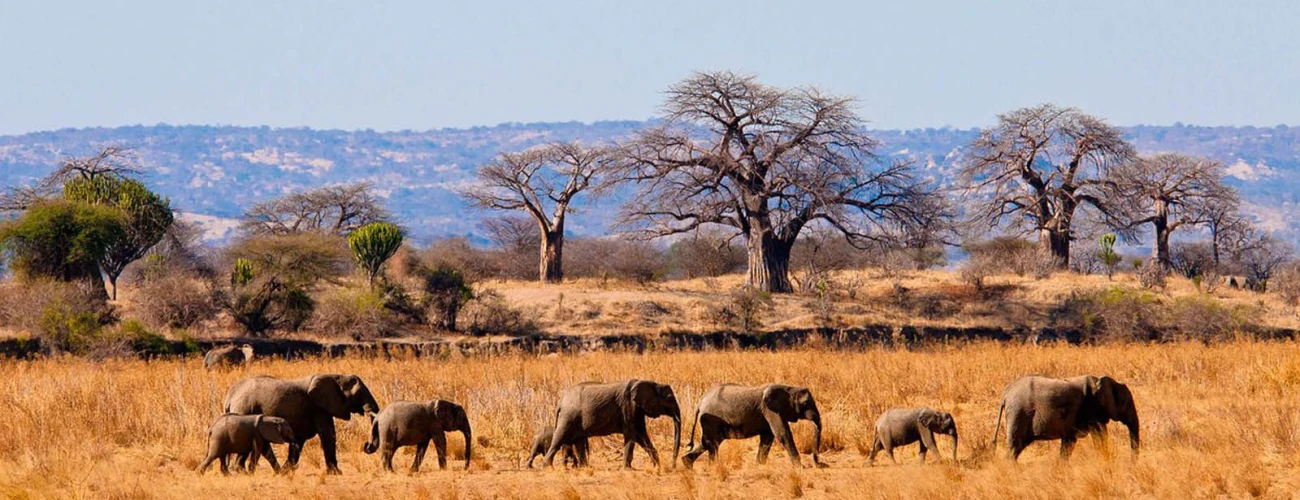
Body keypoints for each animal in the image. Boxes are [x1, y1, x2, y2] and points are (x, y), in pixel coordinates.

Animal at [220, 371, 377, 472]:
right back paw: (241, 471)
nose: (366, 445)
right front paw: (336, 473)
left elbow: (300, 440)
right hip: (245, 410)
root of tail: (230, 396)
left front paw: (288, 471)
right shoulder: (318, 407)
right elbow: (328, 434)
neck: (337, 376)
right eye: (358, 394)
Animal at [540, 379, 681, 470]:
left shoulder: (637, 410)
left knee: (578, 441)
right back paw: (547, 466)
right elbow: (632, 435)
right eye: (669, 398)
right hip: (569, 416)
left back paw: (585, 467)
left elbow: (642, 436)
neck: (652, 383)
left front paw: (657, 466)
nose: (672, 466)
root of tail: (560, 402)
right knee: (560, 438)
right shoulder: (628, 407)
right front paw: (628, 469)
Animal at [681, 381, 821, 467]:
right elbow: (782, 434)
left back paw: (687, 464)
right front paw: (799, 467)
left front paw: (760, 465)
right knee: (712, 443)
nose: (819, 463)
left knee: (709, 442)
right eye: (805, 404)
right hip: (711, 420)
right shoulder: (770, 410)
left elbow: (767, 437)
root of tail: (700, 403)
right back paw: (712, 466)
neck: (789, 388)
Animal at [993, 374, 1138, 459]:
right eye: (1128, 403)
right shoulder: (1091, 409)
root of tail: (1005, 394)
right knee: (1015, 446)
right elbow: (1099, 434)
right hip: (1018, 413)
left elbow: (1069, 442)